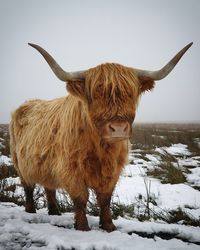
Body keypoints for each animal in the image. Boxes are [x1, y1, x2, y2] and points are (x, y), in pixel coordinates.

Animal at [9, 43, 192, 232]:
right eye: (96, 94)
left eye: (131, 94)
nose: (118, 128)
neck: (101, 149)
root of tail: (28, 103)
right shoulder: (71, 169)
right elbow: (81, 198)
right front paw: (83, 227)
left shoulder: (113, 171)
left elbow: (105, 199)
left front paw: (109, 226)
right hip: (20, 163)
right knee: (28, 187)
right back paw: (31, 210)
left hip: (45, 165)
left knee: (49, 187)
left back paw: (54, 212)